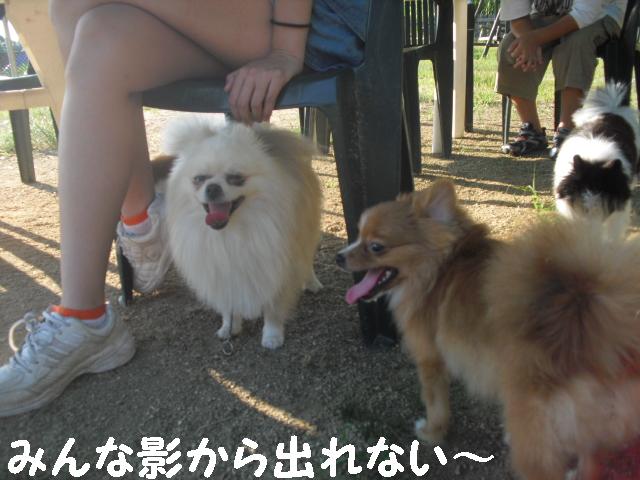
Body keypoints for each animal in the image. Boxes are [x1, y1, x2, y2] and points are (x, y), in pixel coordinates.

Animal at [157, 116, 322, 349]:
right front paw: (229, 327)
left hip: (306, 232)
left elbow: (273, 307)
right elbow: (229, 305)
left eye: (236, 178)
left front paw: (272, 336)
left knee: (307, 261)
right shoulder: (225, 273)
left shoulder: (279, 267)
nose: (213, 187)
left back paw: (312, 283)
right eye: (199, 179)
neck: (230, 234)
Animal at [337, 180, 640, 480]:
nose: (339, 256)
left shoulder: (430, 360)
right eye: (358, 235)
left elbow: (435, 404)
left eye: (376, 246)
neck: (438, 267)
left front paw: (432, 433)